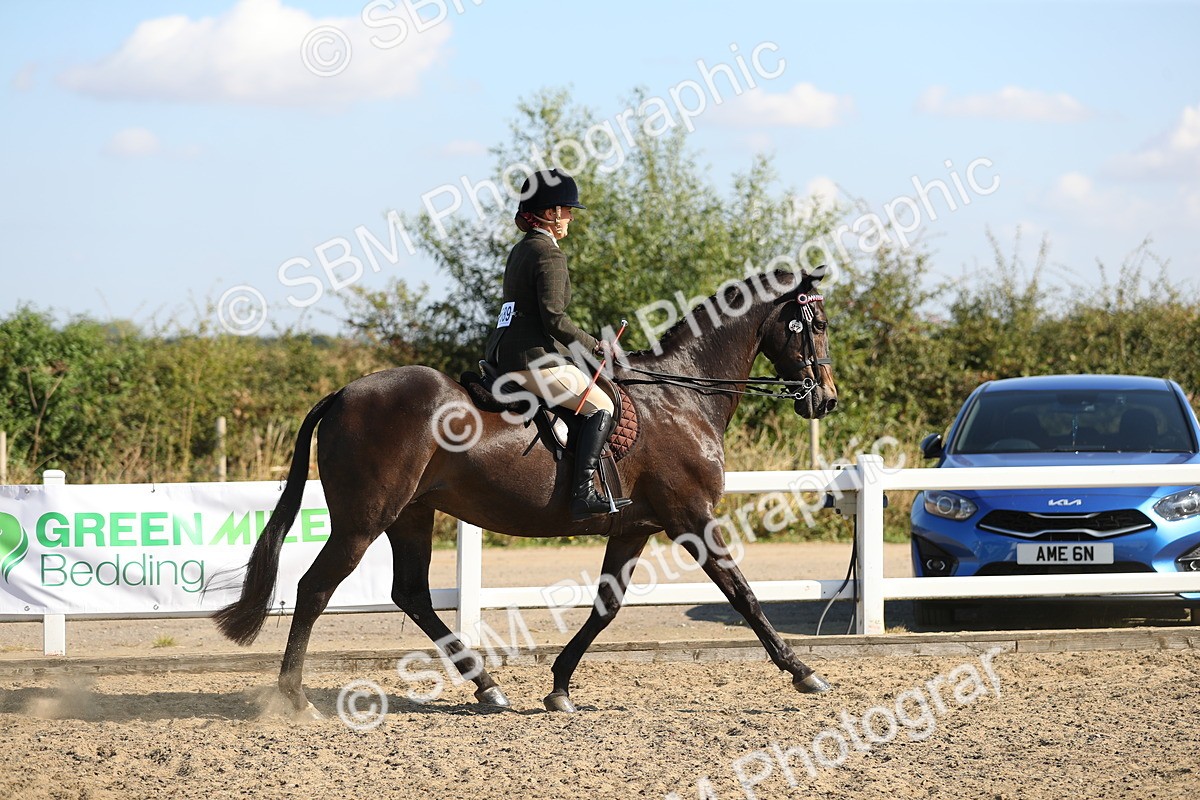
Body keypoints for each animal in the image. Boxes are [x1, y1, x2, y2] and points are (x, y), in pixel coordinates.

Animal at [214, 268, 838, 715]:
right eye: (817, 324)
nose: (826, 399)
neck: (682, 397)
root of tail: (343, 393)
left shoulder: (634, 527)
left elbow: (607, 606)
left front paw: (559, 686)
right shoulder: (691, 516)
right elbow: (743, 594)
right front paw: (804, 672)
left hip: (411, 514)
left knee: (411, 594)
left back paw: (487, 687)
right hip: (363, 521)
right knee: (315, 588)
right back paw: (294, 699)